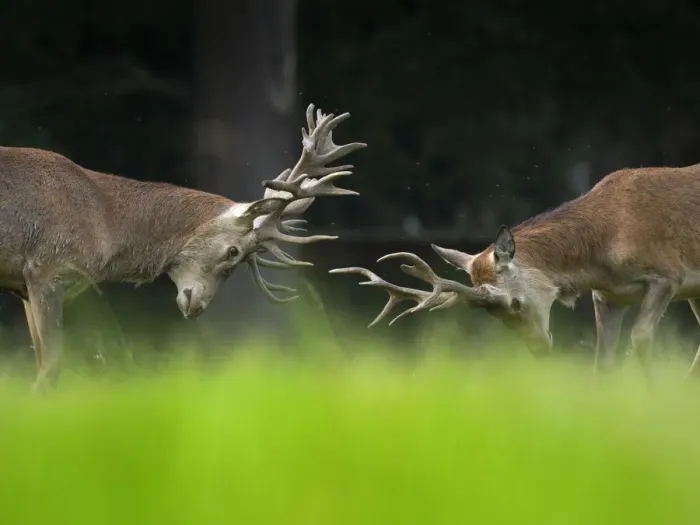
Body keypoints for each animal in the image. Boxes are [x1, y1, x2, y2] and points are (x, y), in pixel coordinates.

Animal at [0, 103, 365, 392]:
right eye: (233, 252)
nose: (198, 306)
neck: (103, 226)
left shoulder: (26, 286)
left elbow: (42, 363)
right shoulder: (48, 269)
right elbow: (51, 368)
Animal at [331, 163, 700, 381]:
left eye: (516, 303)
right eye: (492, 316)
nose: (539, 351)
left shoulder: (668, 274)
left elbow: (641, 339)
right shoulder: (606, 294)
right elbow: (603, 360)